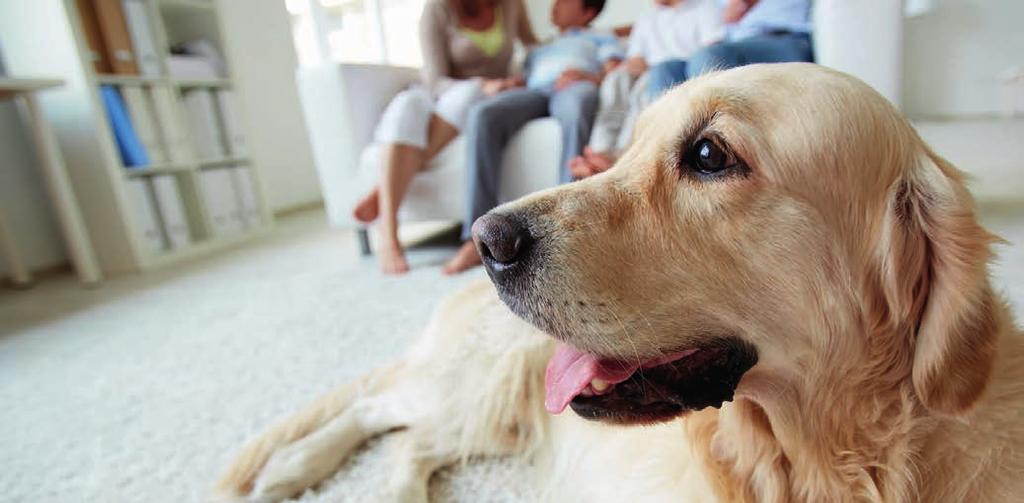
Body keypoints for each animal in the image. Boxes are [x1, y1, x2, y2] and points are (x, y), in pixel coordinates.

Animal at [211, 64, 1019, 503]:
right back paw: (294, 464)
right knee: (379, 408)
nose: (485, 240)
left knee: (410, 442)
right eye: (628, 148)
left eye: (708, 154)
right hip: (484, 383)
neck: (813, 457)